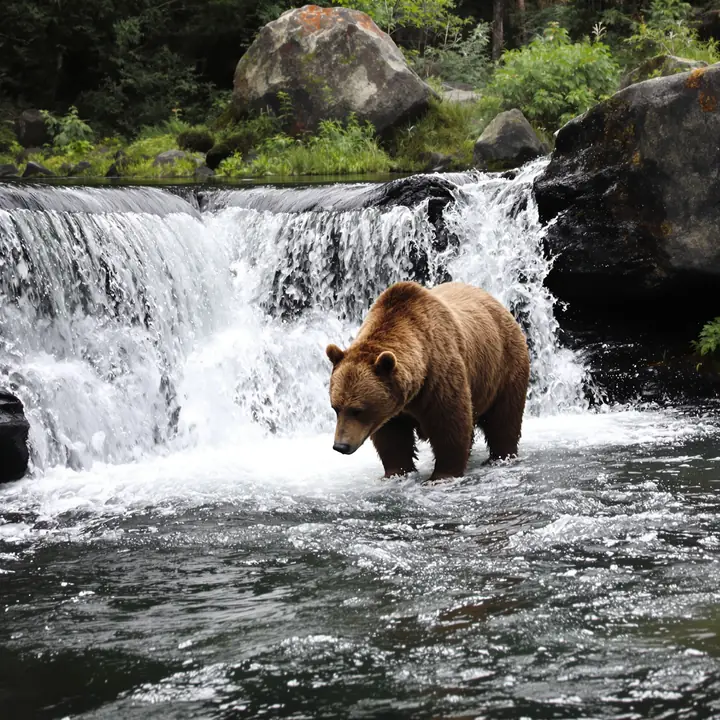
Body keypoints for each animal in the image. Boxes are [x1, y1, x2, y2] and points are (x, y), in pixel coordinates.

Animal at [325, 281, 530, 482]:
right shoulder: (393, 404)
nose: (340, 446)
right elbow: (392, 437)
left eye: (358, 410)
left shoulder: (439, 375)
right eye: (335, 408)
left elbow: (449, 424)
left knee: (504, 417)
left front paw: (442, 474)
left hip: (504, 367)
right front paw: (397, 472)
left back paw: (500, 457)